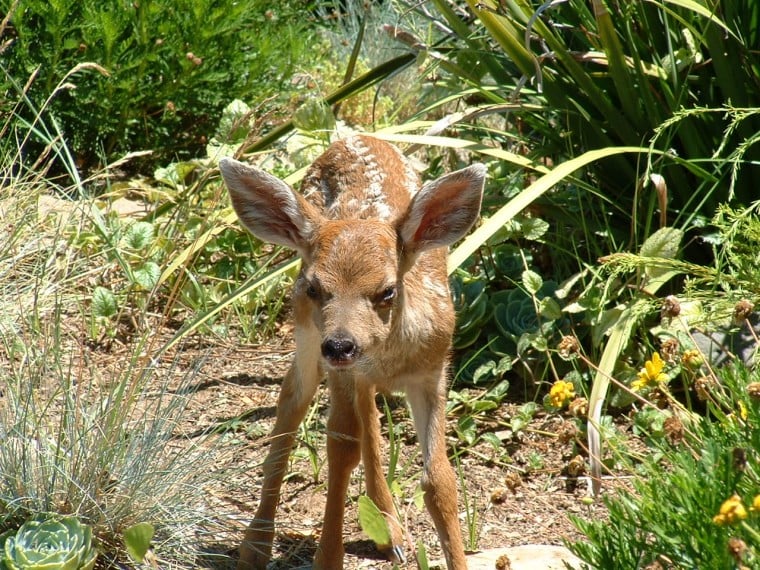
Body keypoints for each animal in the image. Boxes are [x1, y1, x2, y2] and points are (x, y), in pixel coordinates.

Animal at [219, 134, 485, 570]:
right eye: (315, 287)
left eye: (388, 291)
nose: (341, 344)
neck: (389, 356)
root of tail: (353, 136)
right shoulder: (340, 366)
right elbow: (341, 449)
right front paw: (328, 557)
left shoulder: (433, 373)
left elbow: (439, 479)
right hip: (306, 335)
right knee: (292, 401)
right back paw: (256, 547)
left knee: (368, 416)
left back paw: (391, 532)